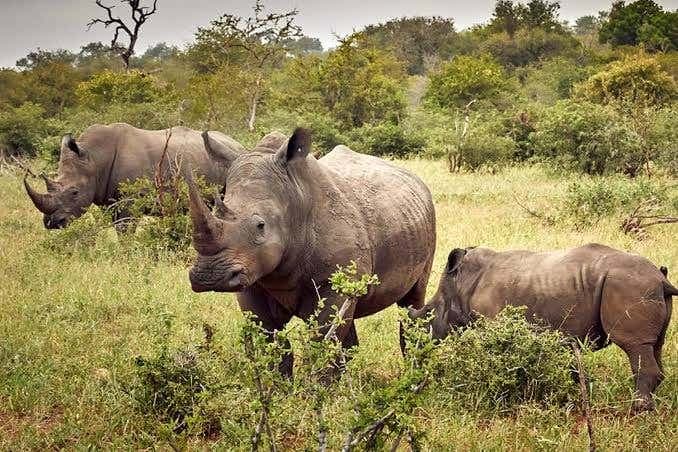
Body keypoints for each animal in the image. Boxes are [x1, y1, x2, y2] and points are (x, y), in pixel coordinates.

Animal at [24, 123, 245, 228]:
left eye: (75, 192)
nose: (52, 224)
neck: (94, 159)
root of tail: (237, 143)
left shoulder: (129, 202)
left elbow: (125, 230)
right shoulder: (108, 198)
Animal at [187, 128, 436, 375]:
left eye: (260, 226)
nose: (209, 276)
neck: (293, 204)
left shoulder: (332, 282)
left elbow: (322, 343)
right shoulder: (252, 281)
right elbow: (271, 344)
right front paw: (279, 384)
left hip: (426, 217)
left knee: (412, 301)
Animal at [409, 243, 676, 412]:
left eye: (429, 314)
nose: (416, 356)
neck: (461, 283)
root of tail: (662, 279)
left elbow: (496, 361)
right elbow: (572, 369)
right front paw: (574, 398)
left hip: (630, 286)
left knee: (635, 346)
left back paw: (637, 411)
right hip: (642, 288)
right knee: (655, 345)